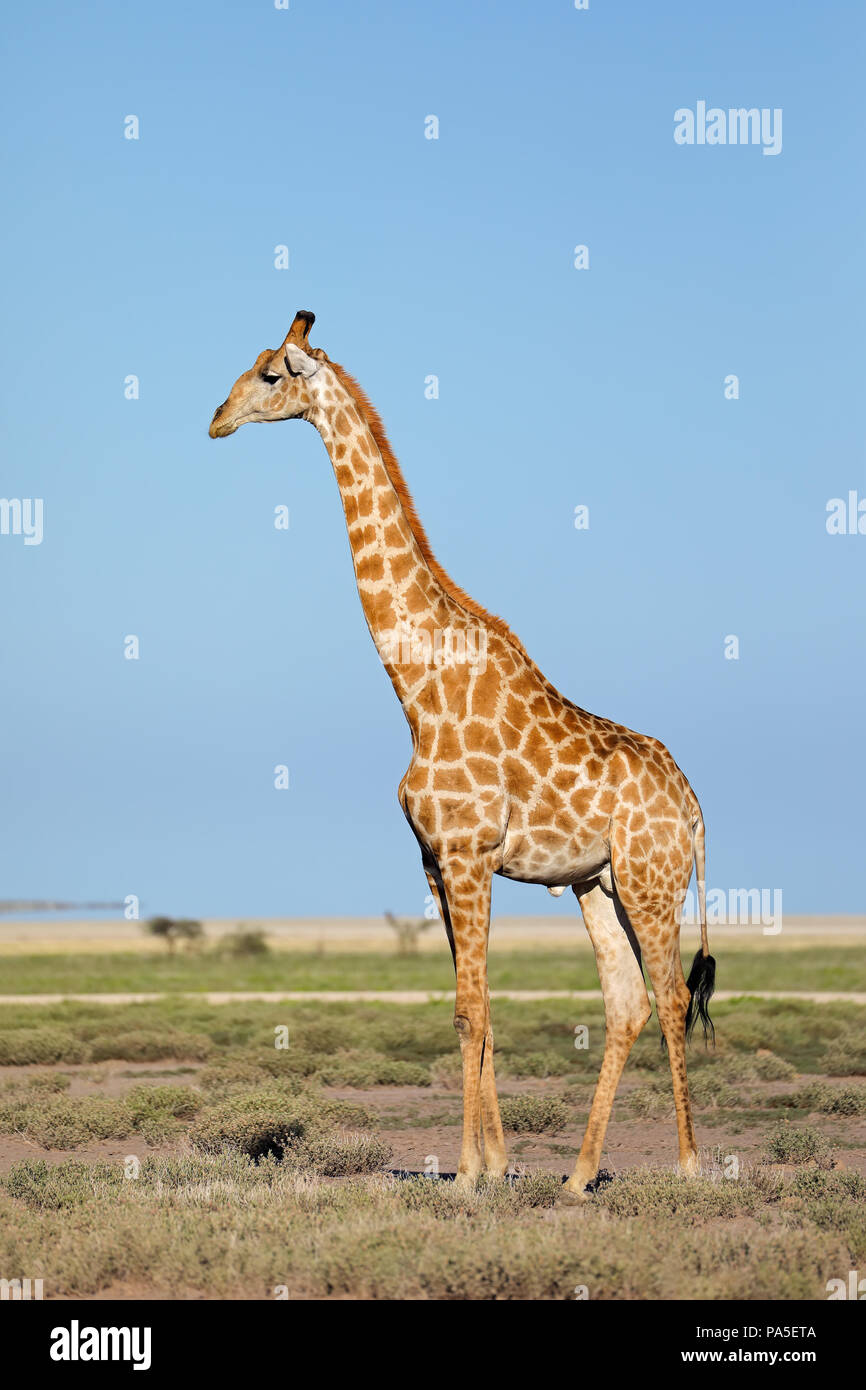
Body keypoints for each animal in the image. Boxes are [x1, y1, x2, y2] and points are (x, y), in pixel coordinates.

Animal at [209, 310, 717, 1199]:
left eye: (270, 374)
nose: (216, 418)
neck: (418, 685)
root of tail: (693, 805)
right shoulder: (435, 861)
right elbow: (469, 1009)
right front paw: (495, 1166)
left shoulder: (471, 853)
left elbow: (473, 1008)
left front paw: (472, 1177)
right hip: (597, 881)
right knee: (626, 1001)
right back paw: (577, 1177)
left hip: (652, 882)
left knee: (669, 994)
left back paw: (687, 1168)